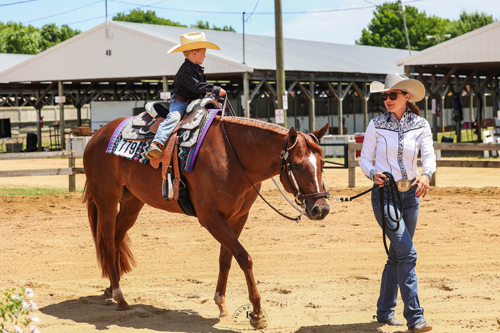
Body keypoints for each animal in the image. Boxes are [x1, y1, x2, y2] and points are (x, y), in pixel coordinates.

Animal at [83, 115, 332, 326]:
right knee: (107, 242)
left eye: (322, 163)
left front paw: (221, 304)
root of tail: (97, 135)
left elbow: (227, 258)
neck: (233, 159)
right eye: (297, 165)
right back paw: (120, 297)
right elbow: (244, 257)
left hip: (132, 202)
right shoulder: (210, 217)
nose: (321, 208)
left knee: (116, 240)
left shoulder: (239, 217)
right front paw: (257, 314)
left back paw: (110, 289)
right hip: (106, 201)